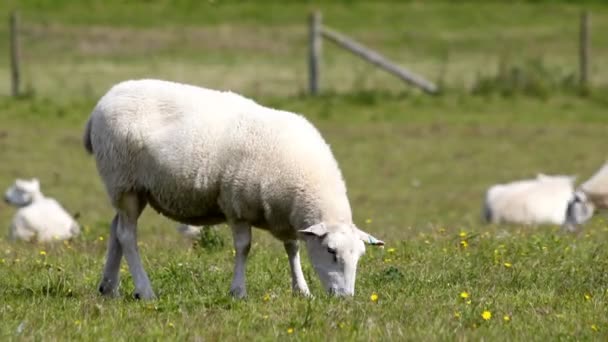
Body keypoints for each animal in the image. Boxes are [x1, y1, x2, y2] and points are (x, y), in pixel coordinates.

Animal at [84, 79, 384, 300]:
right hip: (124, 181)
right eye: (331, 252)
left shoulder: (285, 214)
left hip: (131, 189)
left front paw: (301, 290)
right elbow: (243, 247)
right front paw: (238, 291)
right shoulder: (236, 205)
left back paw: (109, 287)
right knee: (127, 236)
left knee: (116, 229)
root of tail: (102, 102)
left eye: (360, 256)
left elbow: (292, 248)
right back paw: (144, 291)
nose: (345, 298)